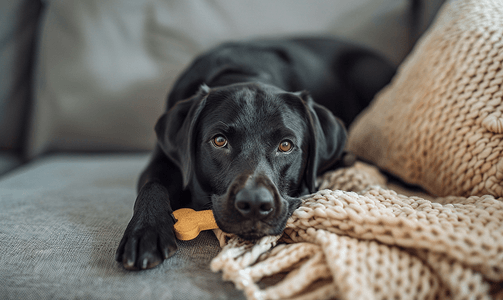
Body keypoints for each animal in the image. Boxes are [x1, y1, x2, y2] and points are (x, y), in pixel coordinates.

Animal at [116, 37, 396, 270]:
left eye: (286, 145)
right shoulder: (161, 159)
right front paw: (145, 231)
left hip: (366, 71)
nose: (254, 204)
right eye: (219, 141)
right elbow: (152, 185)